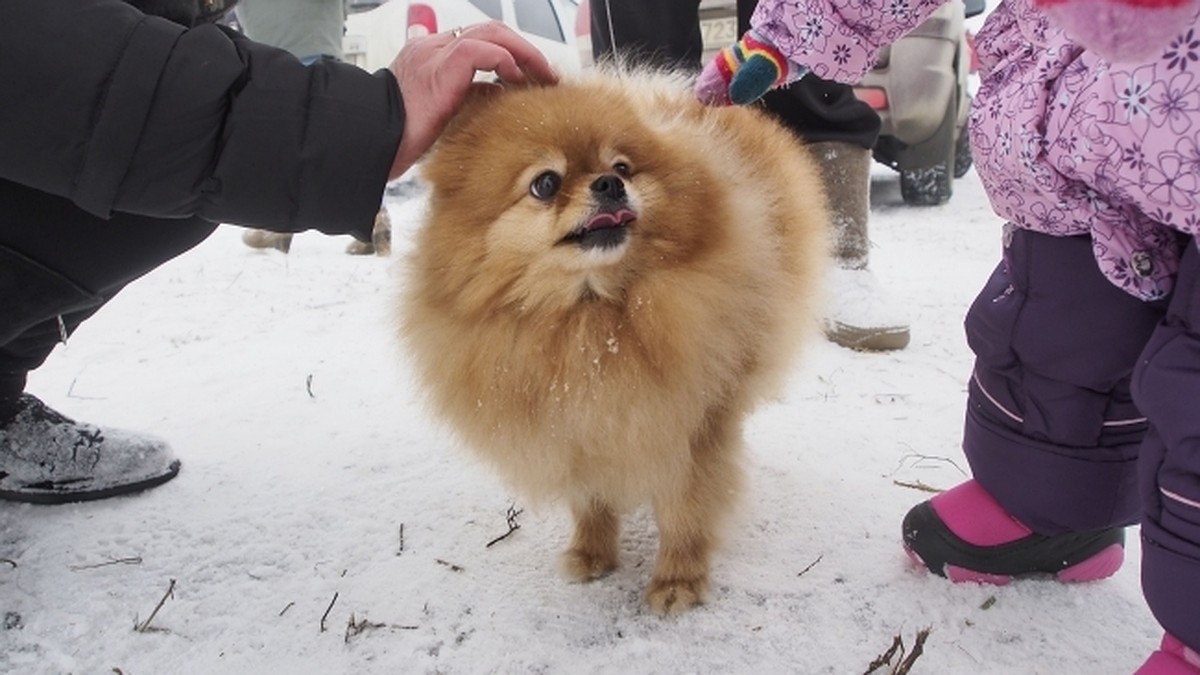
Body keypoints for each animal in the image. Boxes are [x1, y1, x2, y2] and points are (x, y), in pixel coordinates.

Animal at [398, 68, 830, 614]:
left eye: (622, 166)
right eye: (545, 183)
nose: (609, 183)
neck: (590, 315)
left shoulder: (691, 428)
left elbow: (685, 509)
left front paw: (678, 580)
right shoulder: (577, 430)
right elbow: (590, 500)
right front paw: (592, 553)